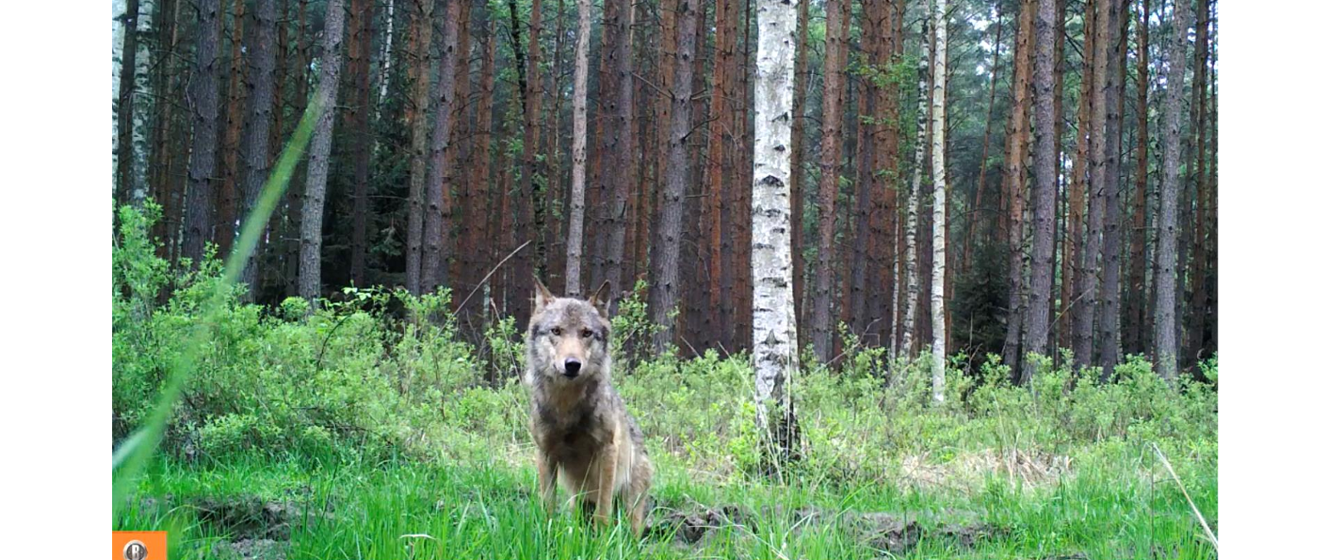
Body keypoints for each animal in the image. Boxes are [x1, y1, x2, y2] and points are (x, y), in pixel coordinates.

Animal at [525, 278, 656, 533]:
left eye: (586, 333)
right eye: (556, 331)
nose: (572, 364)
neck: (566, 405)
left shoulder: (607, 451)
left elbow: (602, 513)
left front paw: (603, 540)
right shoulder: (545, 453)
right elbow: (547, 507)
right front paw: (546, 533)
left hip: (629, 507)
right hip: (577, 502)